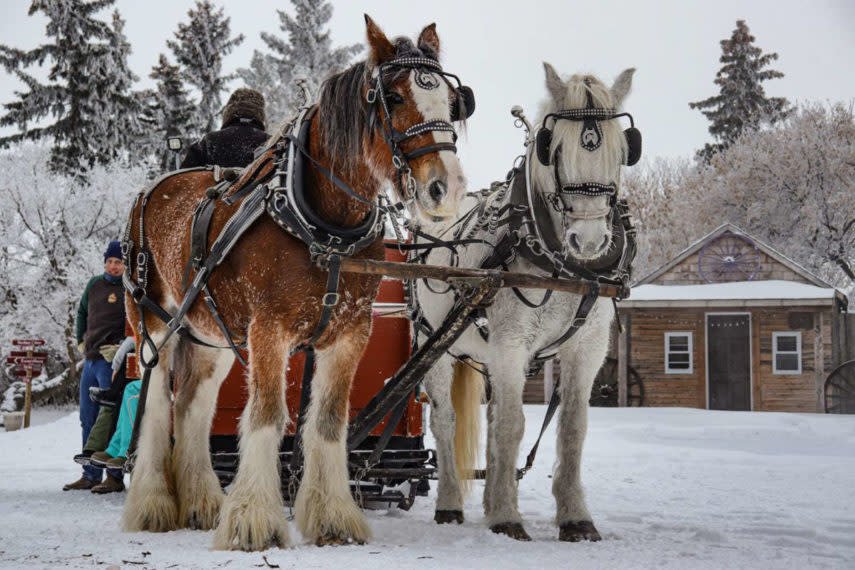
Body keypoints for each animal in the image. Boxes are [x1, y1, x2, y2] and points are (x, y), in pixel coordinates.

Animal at [122, 17, 468, 548]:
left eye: (452, 101)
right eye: (392, 96)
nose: (443, 189)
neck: (324, 227)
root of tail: (152, 190)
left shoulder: (349, 334)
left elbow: (327, 423)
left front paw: (333, 519)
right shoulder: (269, 331)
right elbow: (266, 416)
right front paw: (254, 522)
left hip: (211, 337)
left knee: (193, 406)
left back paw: (201, 503)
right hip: (154, 326)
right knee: (159, 404)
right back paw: (153, 504)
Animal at [414, 64, 636, 540]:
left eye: (623, 149)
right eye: (554, 148)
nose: (589, 240)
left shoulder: (587, 348)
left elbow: (571, 427)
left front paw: (574, 517)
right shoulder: (511, 344)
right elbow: (513, 425)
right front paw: (506, 515)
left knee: (494, 418)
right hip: (434, 345)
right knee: (445, 421)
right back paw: (450, 504)